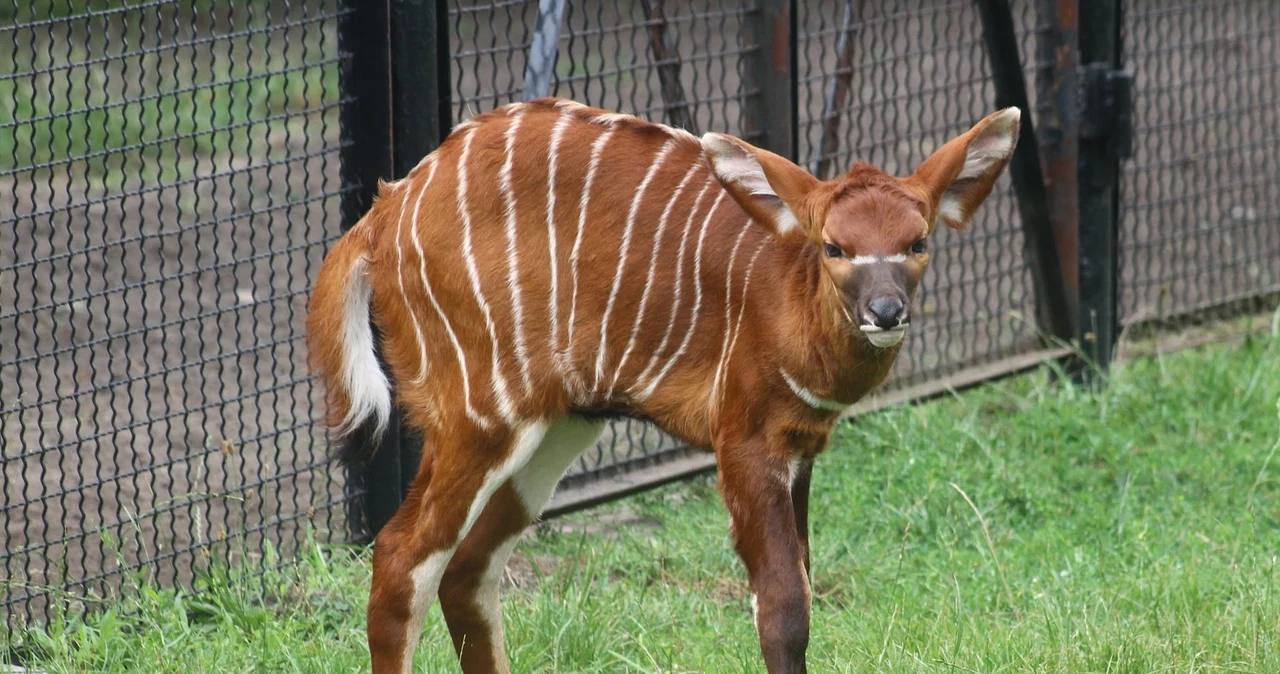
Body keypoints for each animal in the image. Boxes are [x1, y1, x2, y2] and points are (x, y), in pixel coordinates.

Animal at [307, 96, 1018, 674]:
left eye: (918, 241)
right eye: (834, 247)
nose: (886, 312)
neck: (786, 291)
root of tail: (386, 212)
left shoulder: (801, 448)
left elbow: (805, 585)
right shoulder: (746, 441)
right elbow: (784, 608)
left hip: (559, 423)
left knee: (467, 569)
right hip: (481, 412)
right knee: (401, 557)